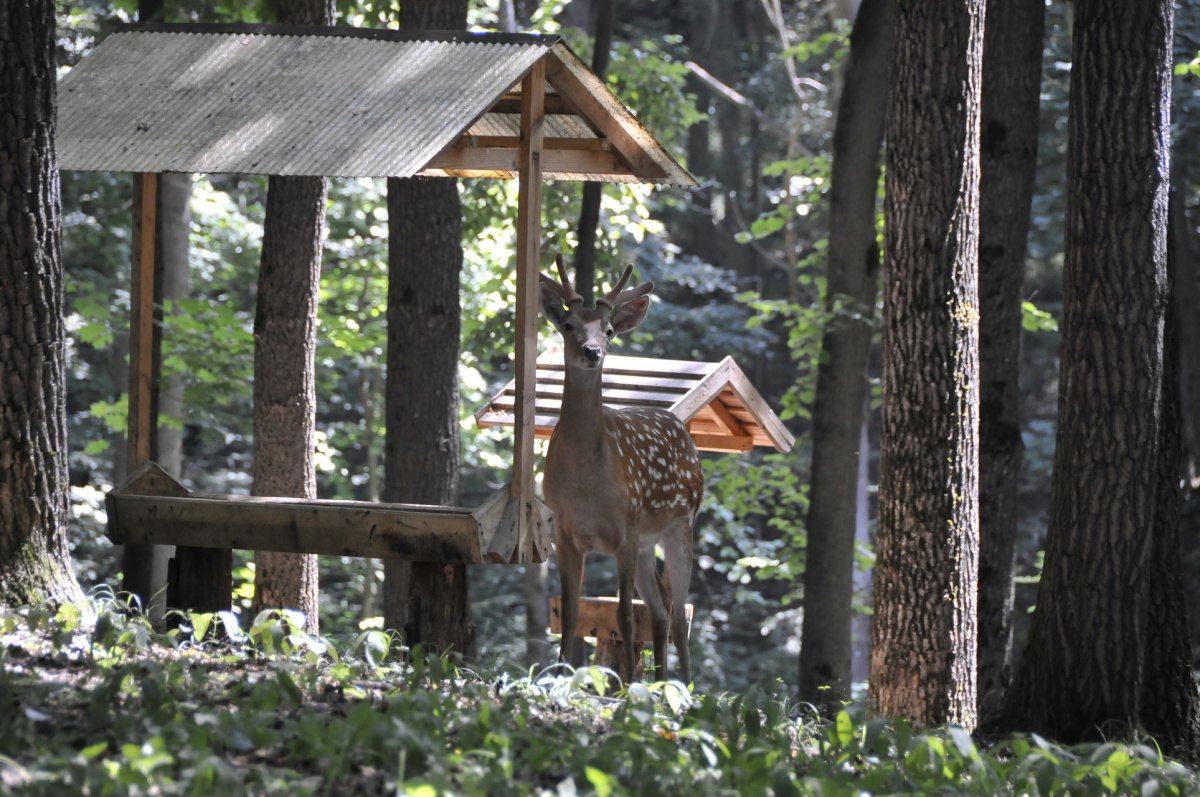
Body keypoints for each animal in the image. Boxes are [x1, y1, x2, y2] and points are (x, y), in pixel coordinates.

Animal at [537, 255, 700, 686]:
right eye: (568, 324)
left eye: (608, 330)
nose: (592, 350)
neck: (585, 486)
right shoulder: (564, 530)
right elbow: (571, 612)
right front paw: (559, 680)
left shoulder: (625, 527)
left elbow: (624, 615)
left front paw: (628, 688)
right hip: (646, 542)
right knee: (661, 610)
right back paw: (662, 685)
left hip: (681, 524)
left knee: (679, 615)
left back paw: (686, 688)